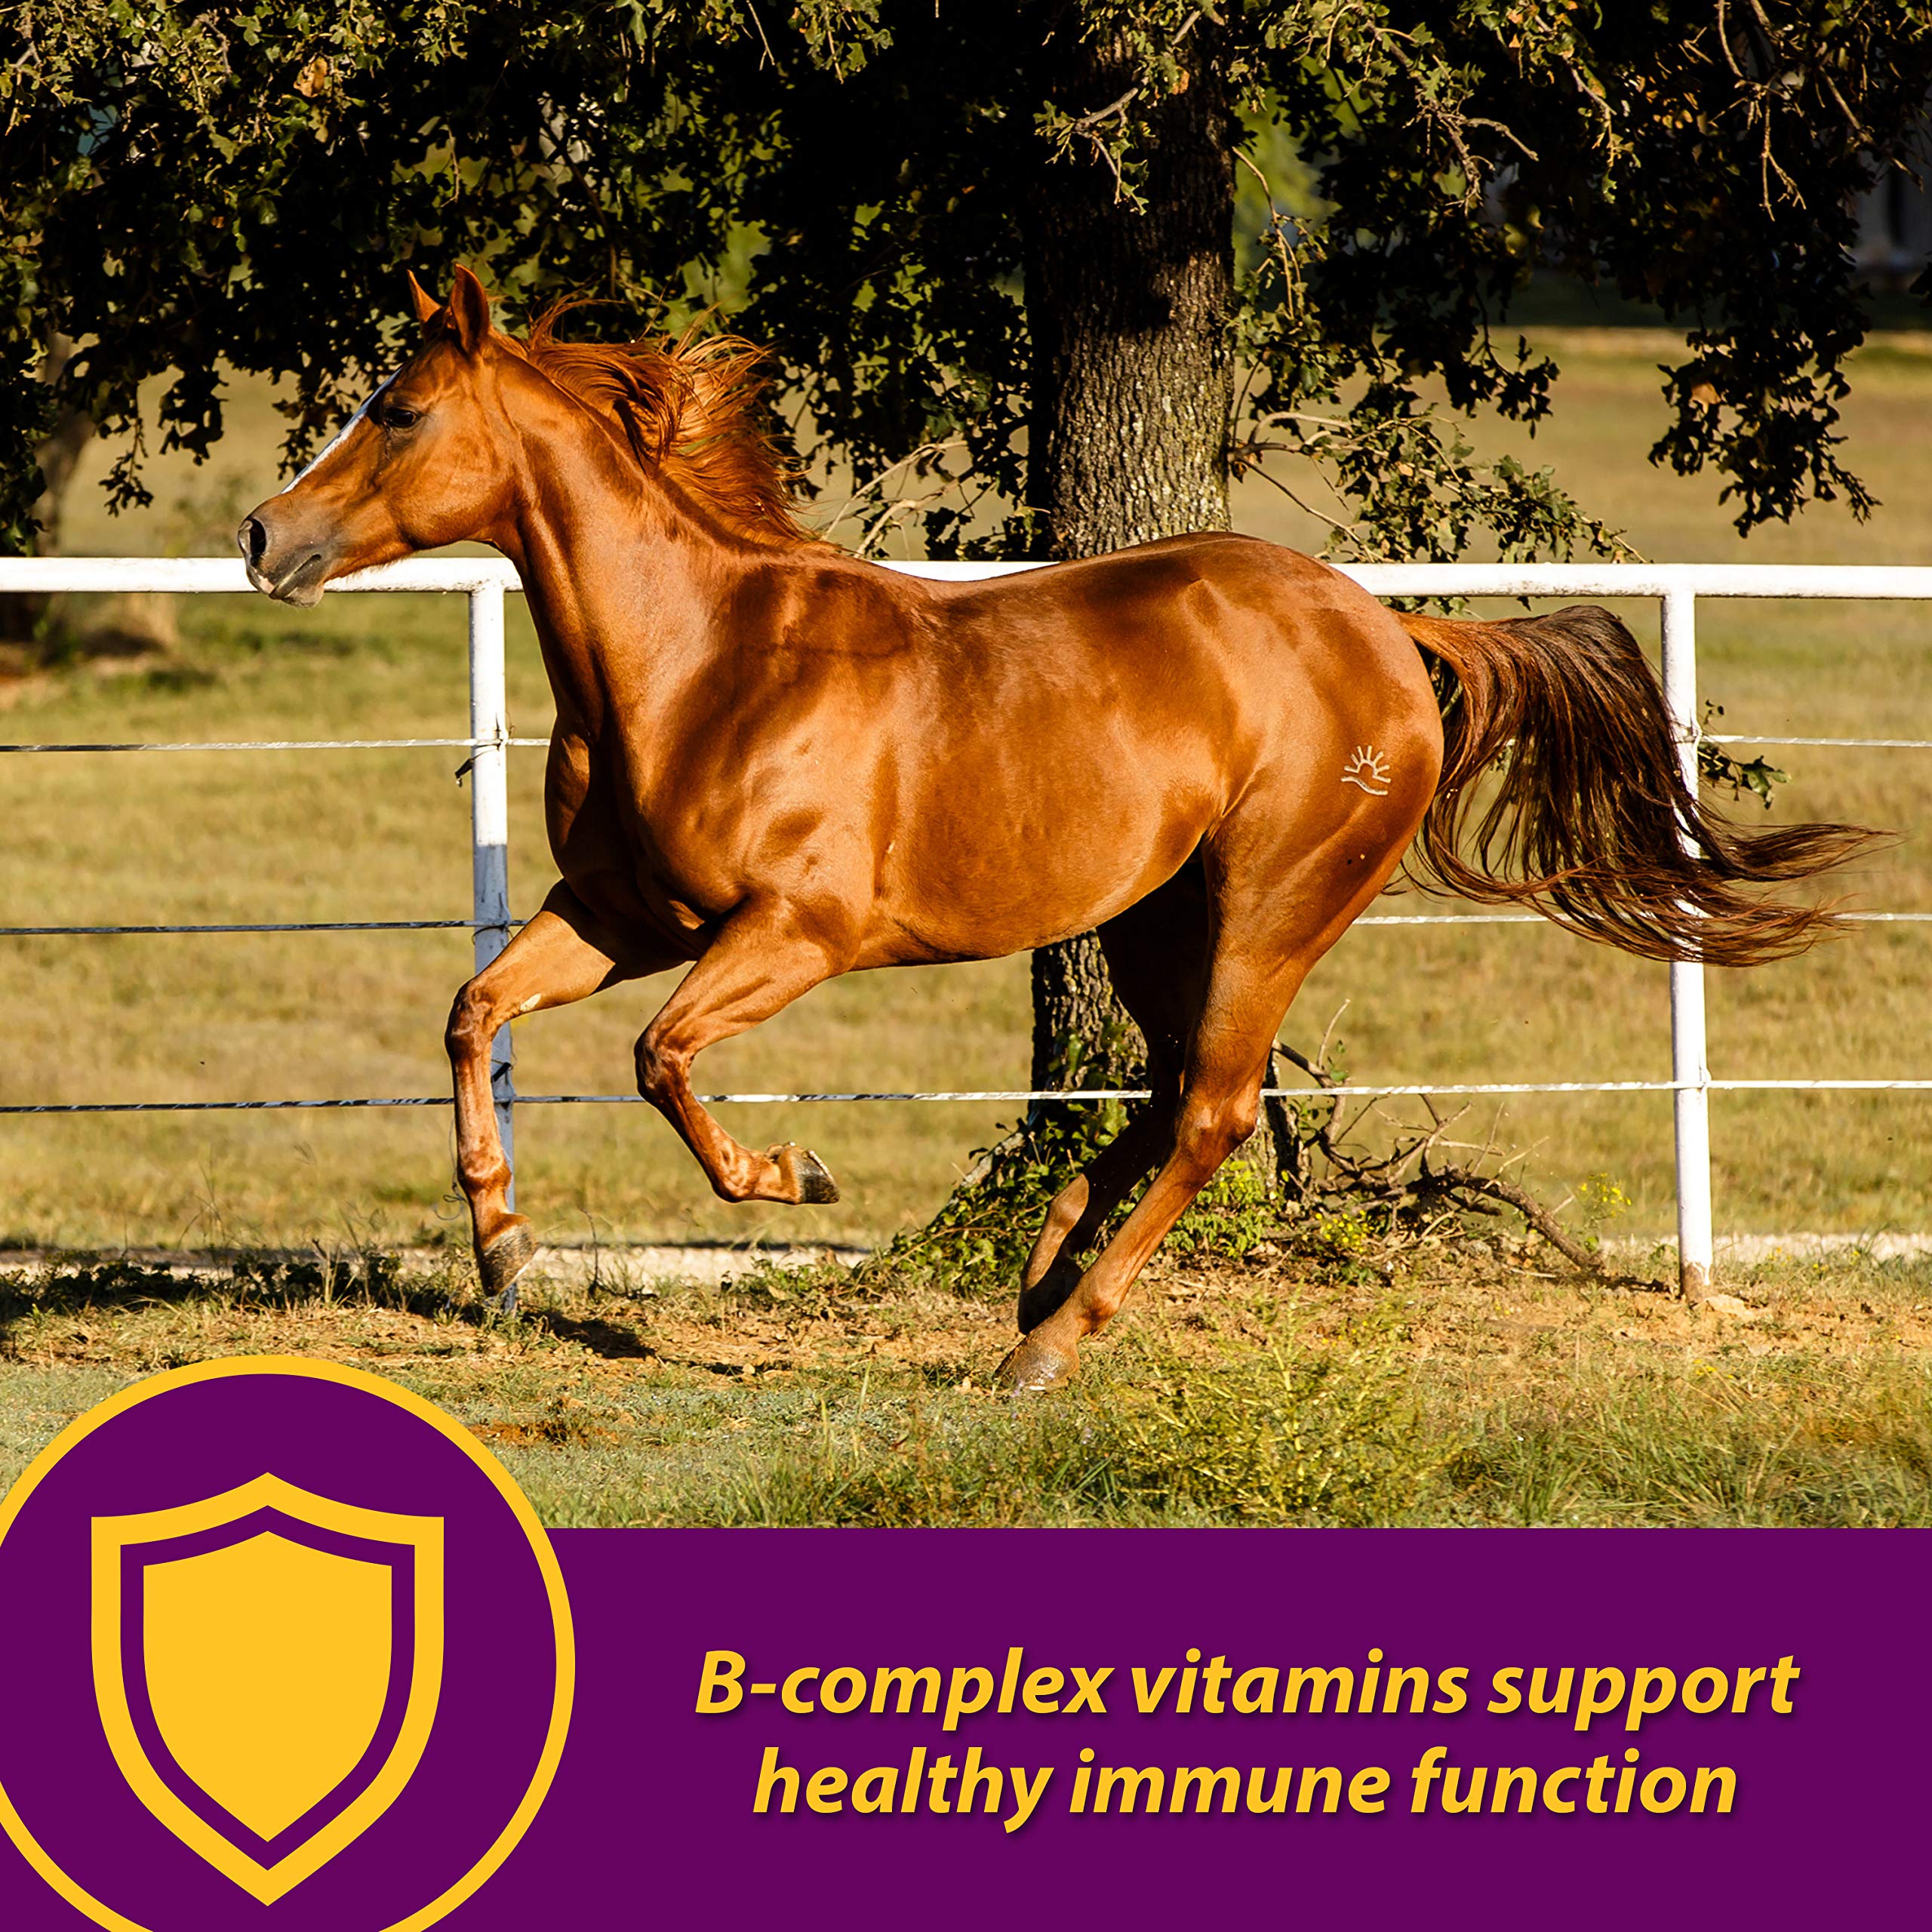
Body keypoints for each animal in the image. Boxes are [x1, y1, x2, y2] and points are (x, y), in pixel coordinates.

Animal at [238, 267, 1874, 1391]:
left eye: (398, 410)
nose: (263, 536)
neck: (704, 661)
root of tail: (1389, 633)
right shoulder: (624, 914)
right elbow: (474, 1011)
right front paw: (503, 1251)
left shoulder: (796, 933)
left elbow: (662, 1060)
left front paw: (793, 1178)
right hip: (1157, 915)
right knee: (1166, 1088)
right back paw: (1038, 1277)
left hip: (1271, 903)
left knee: (1213, 1108)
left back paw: (1049, 1341)